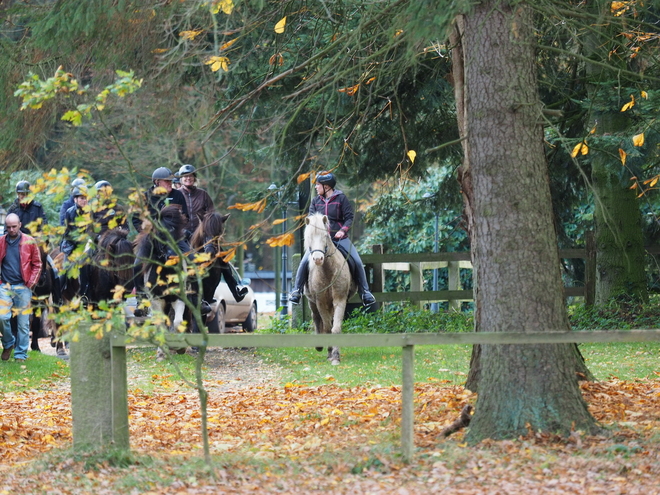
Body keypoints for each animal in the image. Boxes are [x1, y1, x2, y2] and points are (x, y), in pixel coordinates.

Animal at [302, 213, 356, 364]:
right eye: (309, 237)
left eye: (325, 235)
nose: (317, 259)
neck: (327, 272)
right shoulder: (320, 302)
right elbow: (326, 327)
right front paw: (329, 352)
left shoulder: (339, 300)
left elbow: (335, 328)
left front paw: (335, 356)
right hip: (312, 302)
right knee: (316, 318)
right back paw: (320, 346)